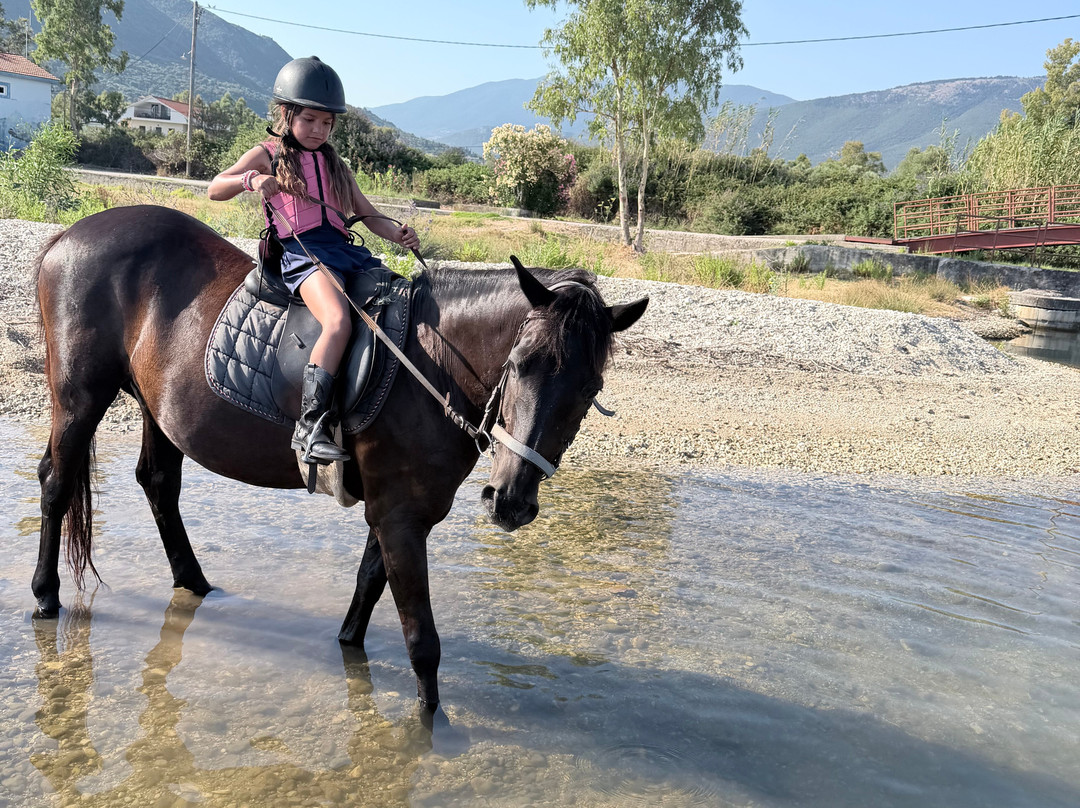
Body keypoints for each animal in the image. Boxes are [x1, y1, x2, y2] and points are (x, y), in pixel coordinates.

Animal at [32, 204, 647, 711]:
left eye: (589, 389)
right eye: (518, 364)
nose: (511, 500)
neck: (430, 360)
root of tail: (68, 235)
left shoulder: (398, 509)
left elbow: (368, 587)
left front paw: (351, 652)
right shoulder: (401, 517)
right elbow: (421, 640)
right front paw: (431, 732)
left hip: (155, 407)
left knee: (157, 481)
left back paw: (196, 584)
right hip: (80, 396)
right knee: (56, 482)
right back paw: (44, 596)